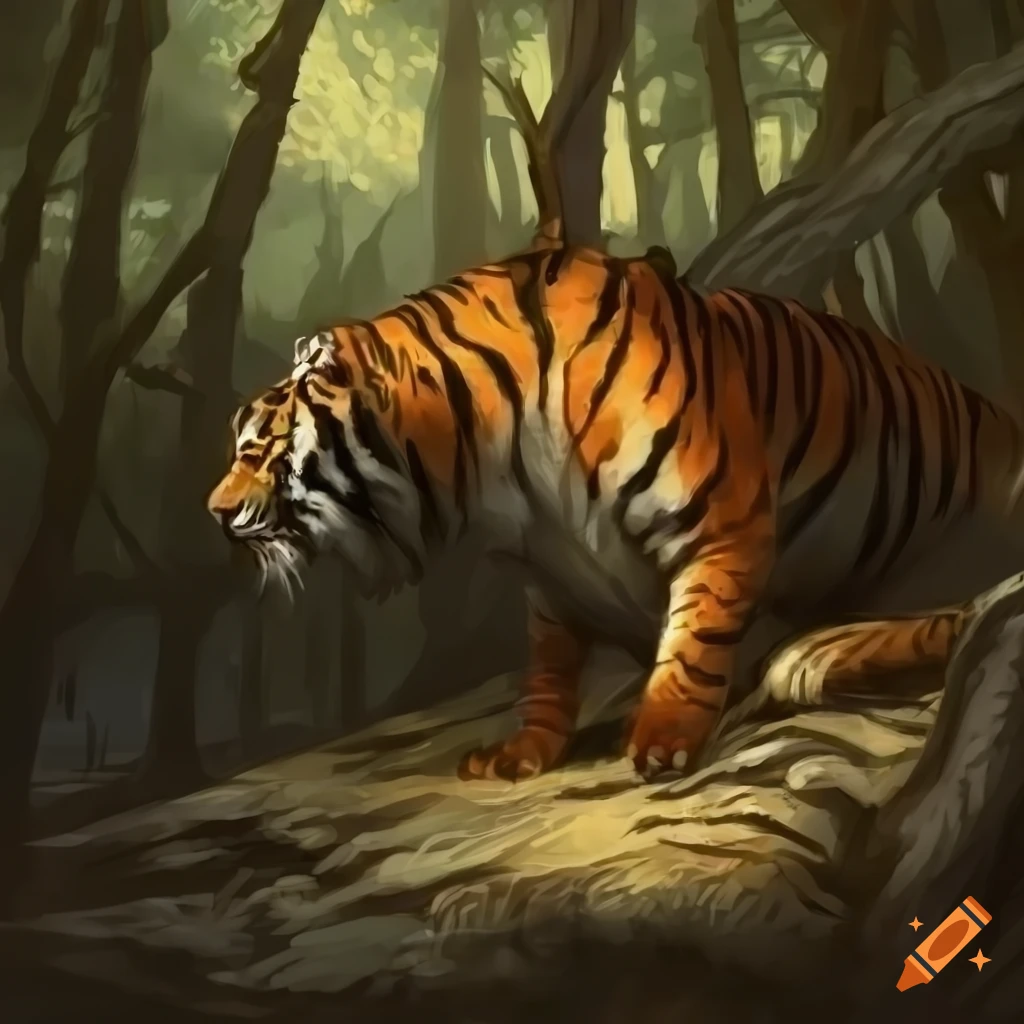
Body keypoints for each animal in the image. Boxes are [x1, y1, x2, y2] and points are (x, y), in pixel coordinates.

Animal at [207, 243, 1024, 782]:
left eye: (255, 449)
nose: (212, 513)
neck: (495, 469)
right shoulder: (553, 575)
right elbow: (547, 669)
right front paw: (522, 752)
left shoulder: (721, 523)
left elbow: (694, 637)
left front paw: (662, 739)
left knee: (967, 613)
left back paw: (814, 656)